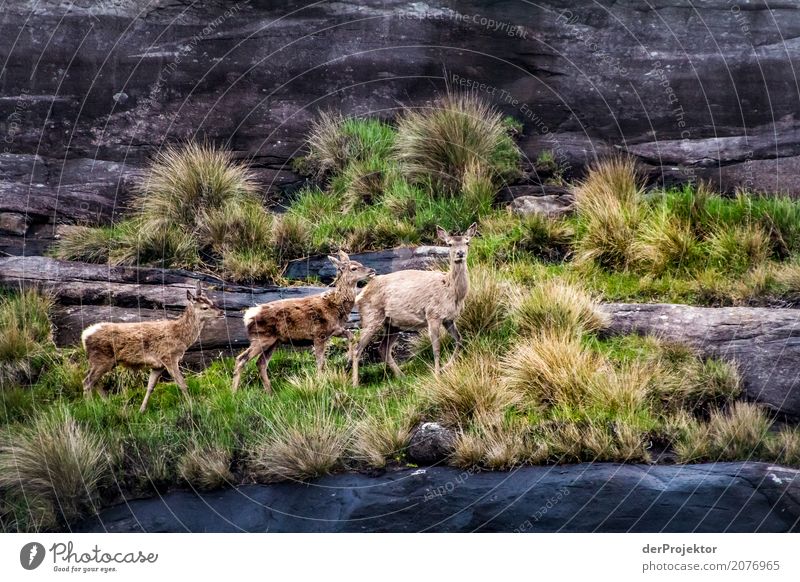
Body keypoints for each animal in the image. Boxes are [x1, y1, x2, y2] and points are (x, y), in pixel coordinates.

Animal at [80, 284, 222, 416]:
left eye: (211, 301)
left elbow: (150, 387)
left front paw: (141, 410)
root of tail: (84, 335)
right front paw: (194, 407)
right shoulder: (169, 357)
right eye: (205, 307)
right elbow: (182, 384)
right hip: (101, 358)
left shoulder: (158, 365)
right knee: (87, 381)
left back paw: (108, 405)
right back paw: (90, 409)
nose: (222, 312)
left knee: (94, 380)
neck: (181, 337)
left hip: (105, 361)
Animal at [231, 251, 378, 392]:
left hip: (273, 341)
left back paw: (270, 392)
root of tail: (248, 316)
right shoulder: (319, 333)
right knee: (241, 359)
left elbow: (351, 335)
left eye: (360, 263)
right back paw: (234, 392)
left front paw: (348, 359)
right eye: (354, 268)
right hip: (261, 337)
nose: (372, 270)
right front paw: (320, 383)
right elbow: (320, 362)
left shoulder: (334, 330)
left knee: (260, 363)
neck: (335, 306)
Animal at [350, 226, 476, 386]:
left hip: (392, 324)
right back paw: (355, 383)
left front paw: (445, 367)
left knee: (383, 348)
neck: (452, 291)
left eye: (467, 242)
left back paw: (401, 376)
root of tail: (360, 295)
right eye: (449, 244)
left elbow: (460, 340)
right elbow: (436, 348)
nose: (460, 253)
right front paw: (437, 375)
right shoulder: (433, 315)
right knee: (356, 348)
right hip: (371, 316)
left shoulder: (448, 319)